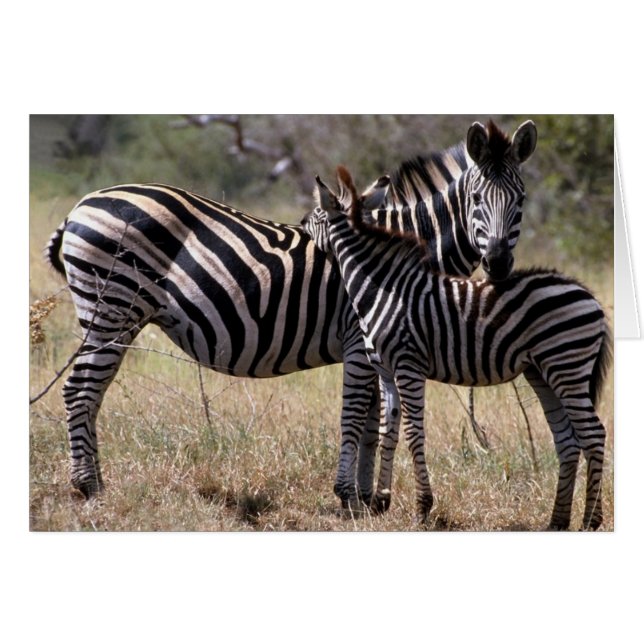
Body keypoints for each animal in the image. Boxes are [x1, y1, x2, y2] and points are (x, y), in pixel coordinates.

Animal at [44, 119, 537, 503]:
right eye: (477, 201)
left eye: (521, 201)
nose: (498, 265)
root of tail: (81, 205)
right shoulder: (360, 342)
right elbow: (355, 415)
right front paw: (349, 497)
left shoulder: (378, 346)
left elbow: (373, 420)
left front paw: (367, 498)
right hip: (111, 307)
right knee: (79, 390)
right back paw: (88, 487)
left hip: (114, 316)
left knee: (92, 391)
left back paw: (94, 481)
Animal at [303, 166, 611, 530]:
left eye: (317, 215)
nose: (300, 222)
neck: (381, 287)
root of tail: (589, 295)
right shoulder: (387, 373)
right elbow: (387, 431)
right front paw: (380, 500)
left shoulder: (409, 365)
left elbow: (414, 433)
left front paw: (422, 508)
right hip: (543, 372)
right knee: (567, 439)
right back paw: (557, 521)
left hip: (567, 366)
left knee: (593, 434)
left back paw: (590, 521)